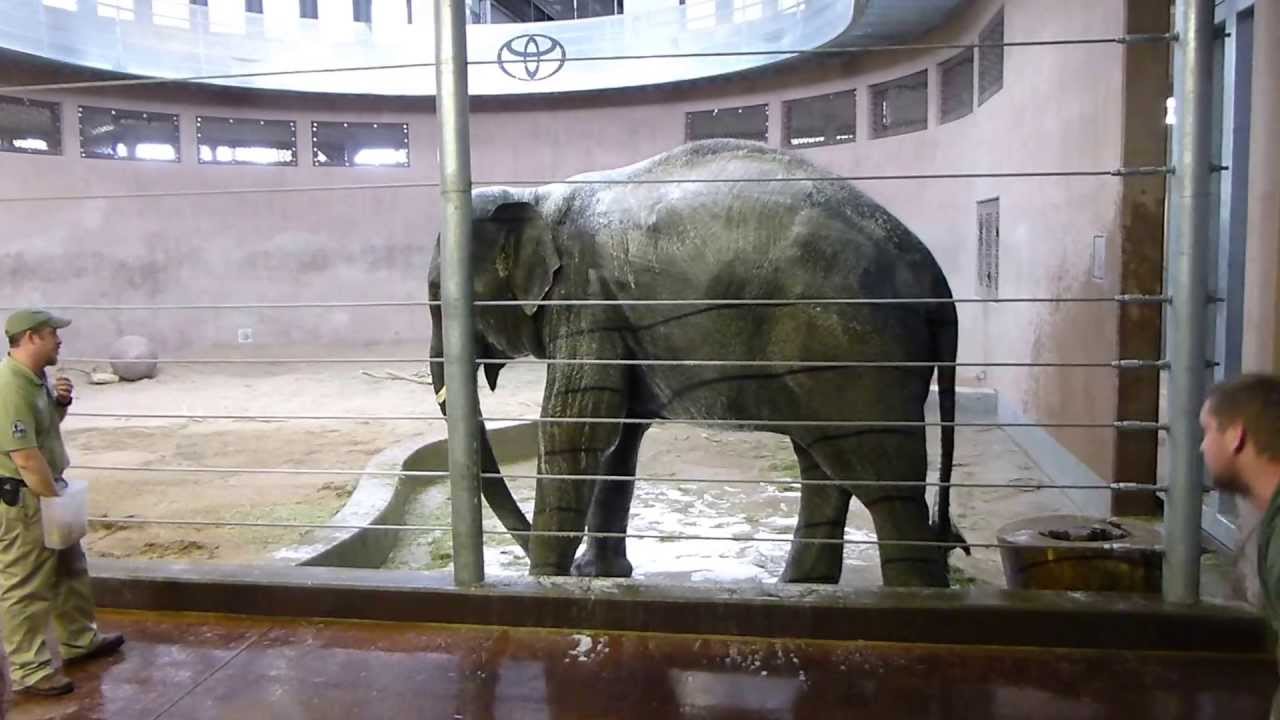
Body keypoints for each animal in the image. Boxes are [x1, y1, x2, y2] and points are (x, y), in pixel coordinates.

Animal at [428, 138, 968, 587]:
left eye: (438, 297)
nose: (538, 557)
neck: (535, 197)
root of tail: (935, 278)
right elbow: (619, 439)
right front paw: (600, 575)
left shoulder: (584, 296)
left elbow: (576, 428)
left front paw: (547, 579)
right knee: (826, 469)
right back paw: (802, 586)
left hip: (854, 348)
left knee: (883, 483)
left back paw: (910, 594)